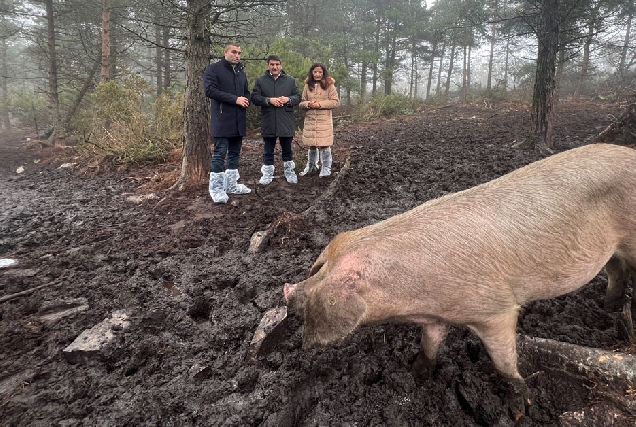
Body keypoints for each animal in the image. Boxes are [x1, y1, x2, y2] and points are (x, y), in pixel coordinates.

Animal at [284, 143, 636, 418]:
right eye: (318, 268)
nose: (287, 290)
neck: (413, 295)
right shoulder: (436, 318)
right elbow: (429, 348)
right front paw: (415, 377)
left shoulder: (495, 309)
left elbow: (505, 362)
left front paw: (522, 408)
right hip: (611, 250)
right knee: (616, 271)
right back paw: (609, 308)